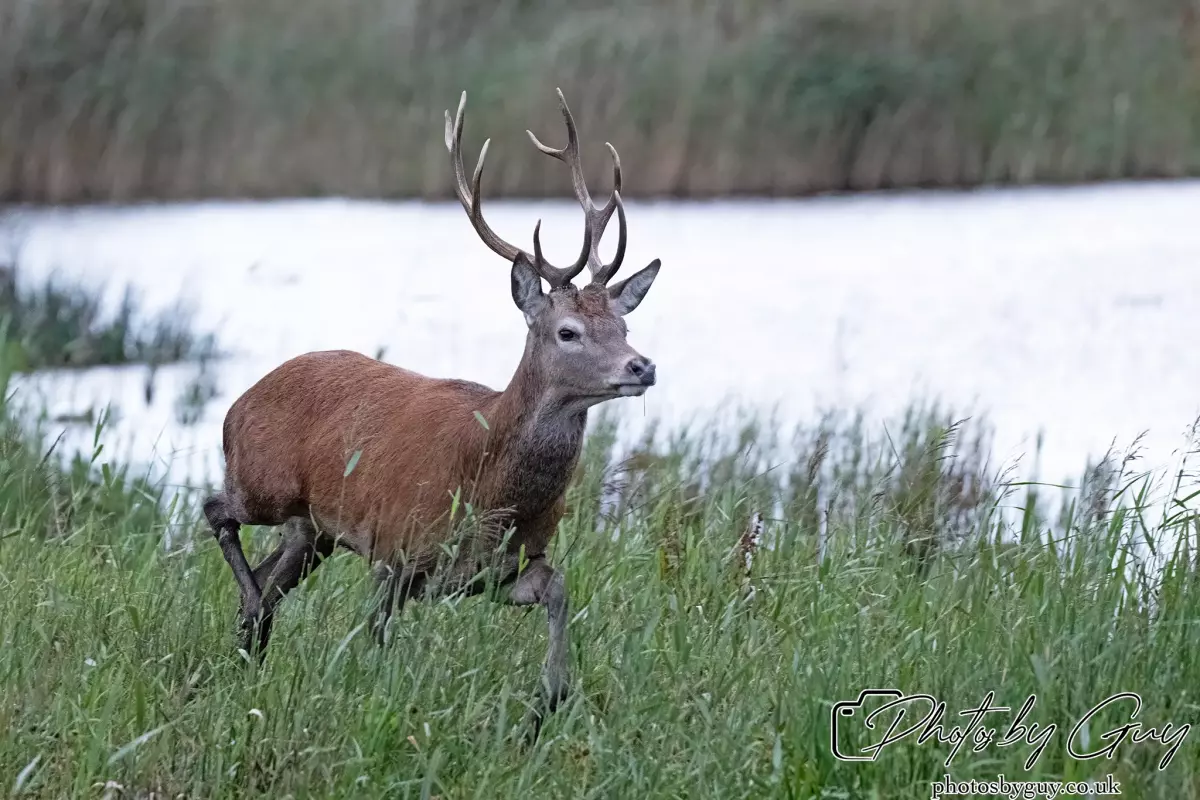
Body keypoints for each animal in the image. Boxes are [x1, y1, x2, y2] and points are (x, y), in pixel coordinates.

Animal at [201, 88, 662, 728]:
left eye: (623, 326)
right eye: (568, 331)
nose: (642, 366)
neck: (486, 487)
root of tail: (240, 401)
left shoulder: (500, 567)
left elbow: (559, 586)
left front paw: (549, 699)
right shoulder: (393, 548)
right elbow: (376, 638)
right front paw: (377, 703)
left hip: (311, 531)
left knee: (270, 578)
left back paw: (250, 650)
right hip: (262, 481)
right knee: (217, 511)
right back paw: (250, 619)